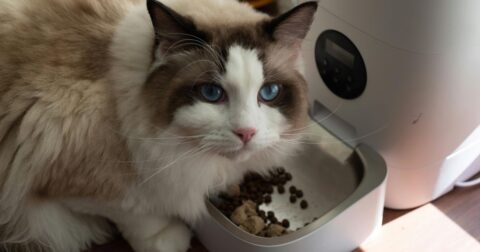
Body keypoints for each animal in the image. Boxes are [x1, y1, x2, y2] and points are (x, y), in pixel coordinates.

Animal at [0, 0, 316, 251]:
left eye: (269, 92)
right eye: (211, 93)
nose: (246, 132)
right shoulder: (64, 176)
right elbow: (136, 214)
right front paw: (168, 239)